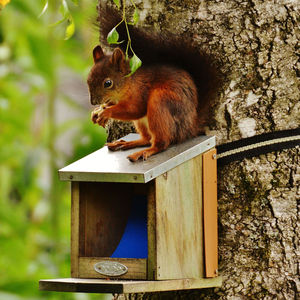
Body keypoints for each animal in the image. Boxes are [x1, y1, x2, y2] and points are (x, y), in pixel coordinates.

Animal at [87, 4, 223, 162]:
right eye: (88, 79)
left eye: (108, 83)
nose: (93, 102)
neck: (129, 83)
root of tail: (189, 128)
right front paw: (97, 111)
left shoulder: (140, 93)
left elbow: (134, 109)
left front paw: (106, 112)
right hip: (142, 122)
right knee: (147, 139)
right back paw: (126, 143)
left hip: (160, 103)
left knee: (161, 143)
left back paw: (145, 151)